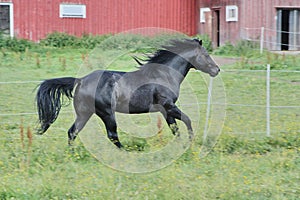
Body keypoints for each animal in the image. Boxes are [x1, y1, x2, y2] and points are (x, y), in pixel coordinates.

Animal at [36, 39, 220, 148]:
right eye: (206, 55)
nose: (217, 70)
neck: (164, 74)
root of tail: (80, 80)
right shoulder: (169, 105)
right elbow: (187, 120)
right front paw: (190, 142)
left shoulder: (165, 110)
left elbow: (175, 128)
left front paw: (180, 145)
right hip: (107, 113)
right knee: (112, 135)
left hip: (84, 114)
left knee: (72, 132)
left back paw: (73, 153)